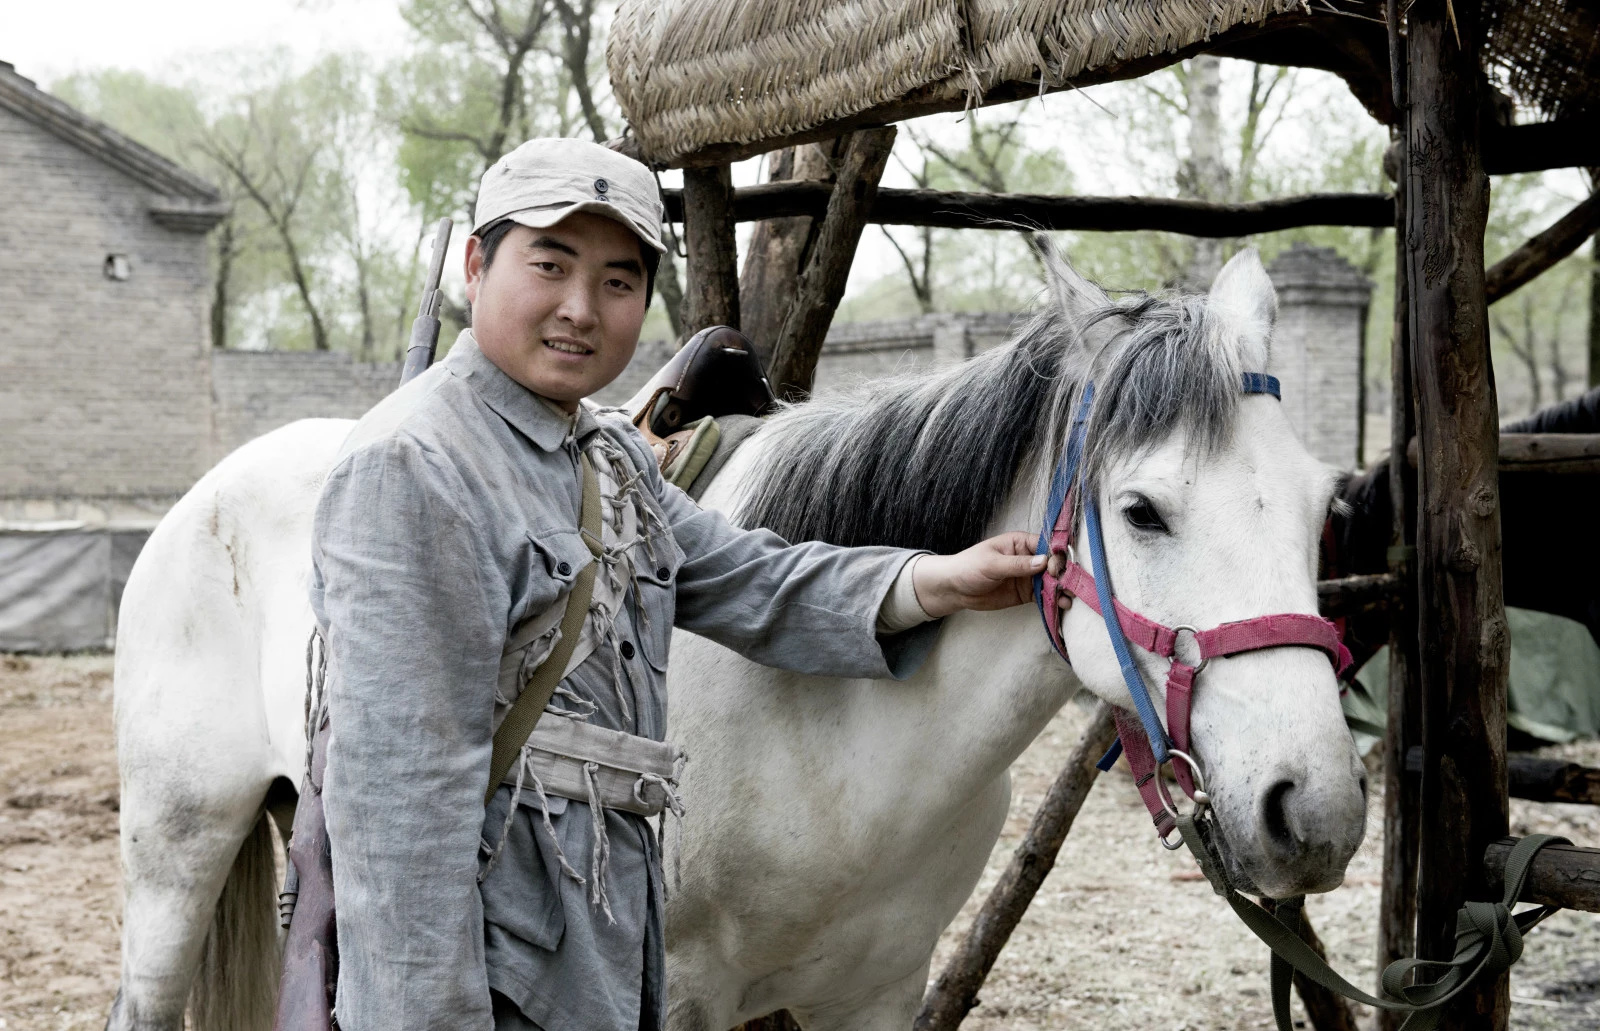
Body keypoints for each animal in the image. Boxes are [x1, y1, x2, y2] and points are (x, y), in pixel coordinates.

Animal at [109, 251, 1363, 1031]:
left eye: (1324, 507)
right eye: (1144, 510)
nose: (1312, 808)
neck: (844, 746)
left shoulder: (873, 993)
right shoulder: (684, 991)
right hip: (176, 850)